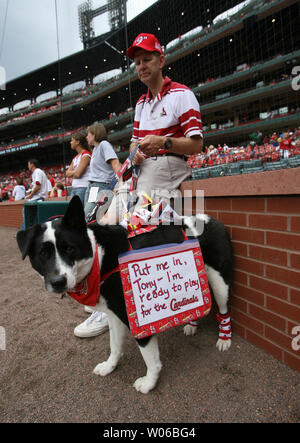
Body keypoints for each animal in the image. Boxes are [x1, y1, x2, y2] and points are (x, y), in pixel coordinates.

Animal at [17, 198, 234, 396]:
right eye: (43, 253)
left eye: (69, 248)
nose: (58, 282)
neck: (100, 259)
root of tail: (210, 219)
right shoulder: (114, 313)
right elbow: (114, 345)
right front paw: (109, 366)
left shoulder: (138, 317)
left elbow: (150, 358)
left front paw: (149, 383)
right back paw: (191, 324)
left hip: (219, 282)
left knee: (224, 308)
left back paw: (224, 338)